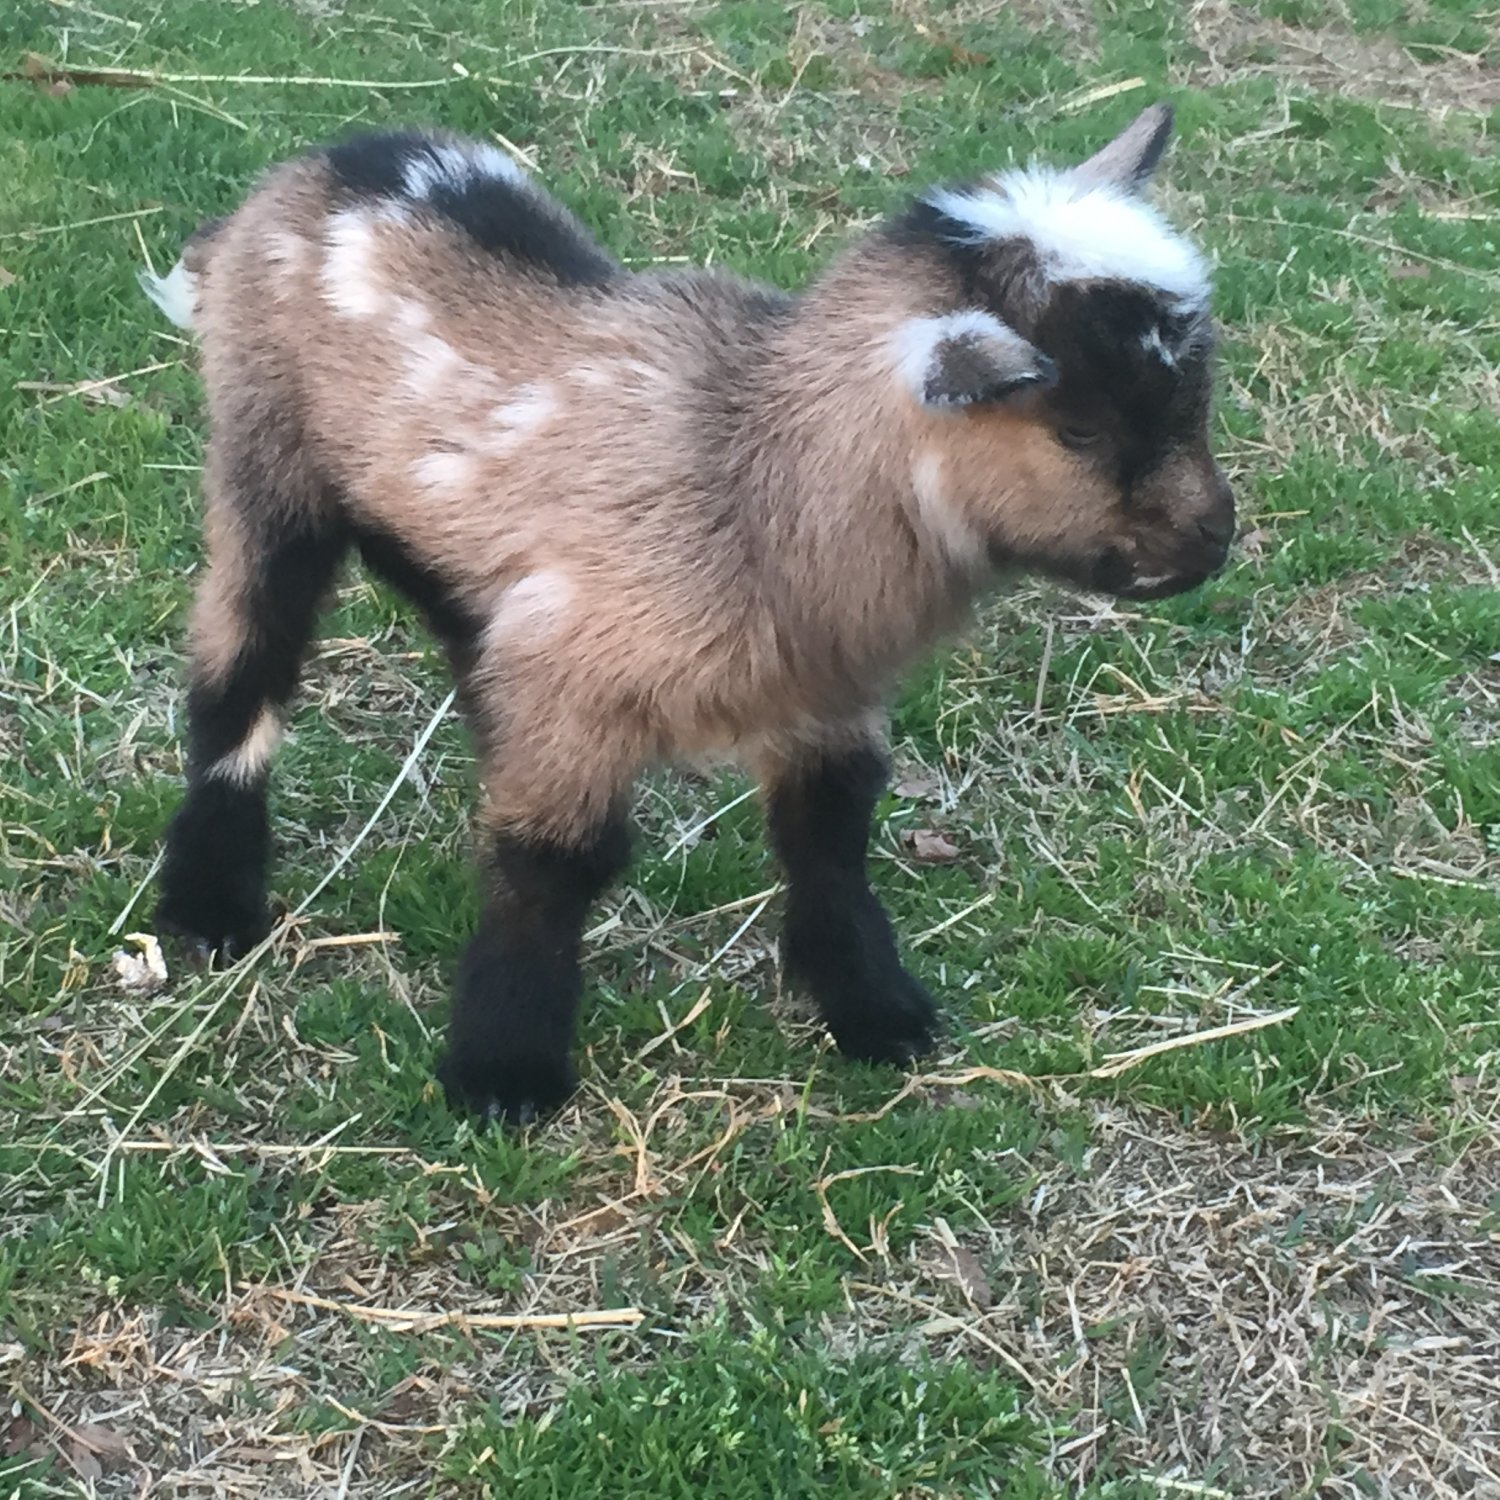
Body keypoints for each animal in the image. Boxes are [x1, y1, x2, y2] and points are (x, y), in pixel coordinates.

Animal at [146, 105, 1236, 1128]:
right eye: (1079, 429)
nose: (1212, 543)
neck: (755, 473)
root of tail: (332, 161)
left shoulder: (823, 693)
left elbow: (830, 838)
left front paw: (874, 1009)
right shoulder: (577, 685)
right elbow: (554, 863)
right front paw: (504, 1072)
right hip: (264, 461)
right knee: (242, 673)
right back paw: (209, 908)